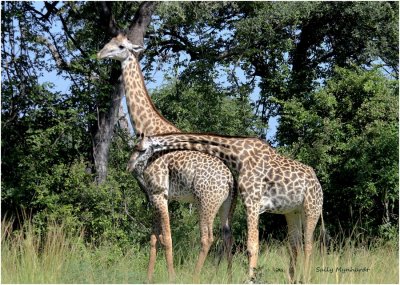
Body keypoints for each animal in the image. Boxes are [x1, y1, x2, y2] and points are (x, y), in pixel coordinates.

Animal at [97, 34, 236, 280]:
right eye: (108, 42)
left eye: (120, 46)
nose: (100, 54)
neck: (149, 127)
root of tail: (230, 180)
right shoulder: (154, 194)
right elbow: (154, 238)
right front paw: (148, 278)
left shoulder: (160, 192)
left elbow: (167, 238)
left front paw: (171, 277)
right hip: (225, 205)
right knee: (227, 236)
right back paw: (228, 278)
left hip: (206, 202)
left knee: (207, 237)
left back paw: (194, 277)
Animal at [136, 133, 324, 282]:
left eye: (141, 149)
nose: (138, 172)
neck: (237, 155)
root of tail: (318, 184)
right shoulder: (251, 203)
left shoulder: (252, 201)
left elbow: (252, 245)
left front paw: (250, 280)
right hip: (292, 213)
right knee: (295, 245)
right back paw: (291, 279)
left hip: (311, 209)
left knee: (308, 244)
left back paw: (305, 278)